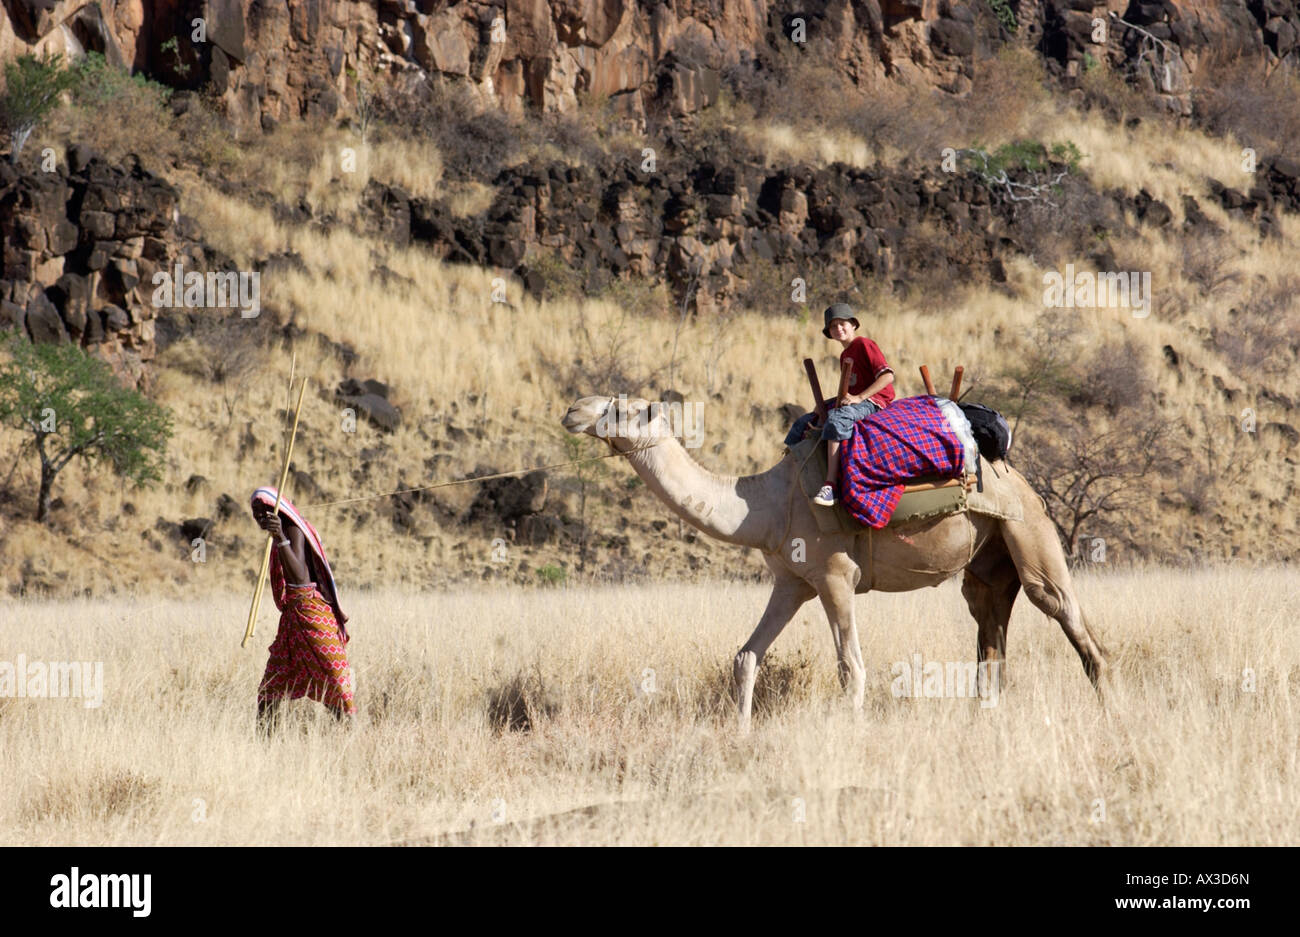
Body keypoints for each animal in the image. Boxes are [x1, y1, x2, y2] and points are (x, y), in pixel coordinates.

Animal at [562, 395, 1109, 727]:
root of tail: (1017, 474)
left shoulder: (835, 577)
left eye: (623, 409)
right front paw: (739, 733)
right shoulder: (792, 581)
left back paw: (1108, 705)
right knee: (990, 631)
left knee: (1069, 617)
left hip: (1028, 532)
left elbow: (851, 667)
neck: (765, 505)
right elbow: (746, 656)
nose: (572, 410)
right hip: (988, 561)